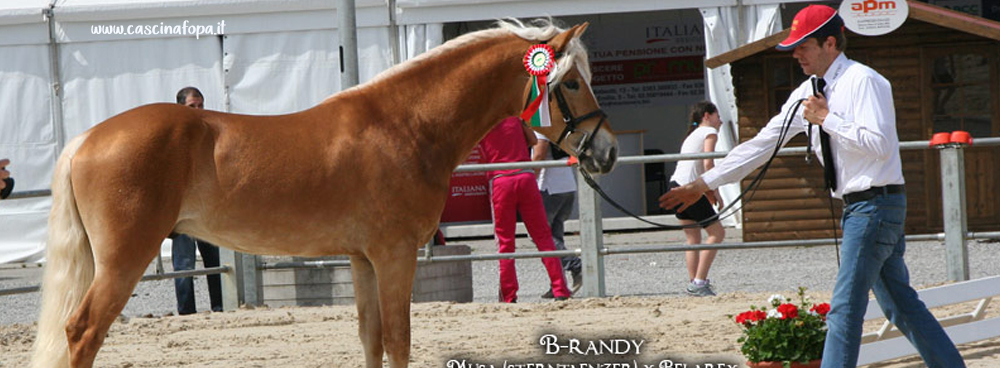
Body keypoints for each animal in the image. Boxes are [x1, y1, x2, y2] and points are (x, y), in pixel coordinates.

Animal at [33, 18, 616, 366]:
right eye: (569, 82)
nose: (606, 151)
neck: (404, 125)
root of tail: (87, 138)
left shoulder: (362, 259)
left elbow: (373, 339)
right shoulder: (395, 255)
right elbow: (399, 340)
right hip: (123, 260)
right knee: (83, 330)